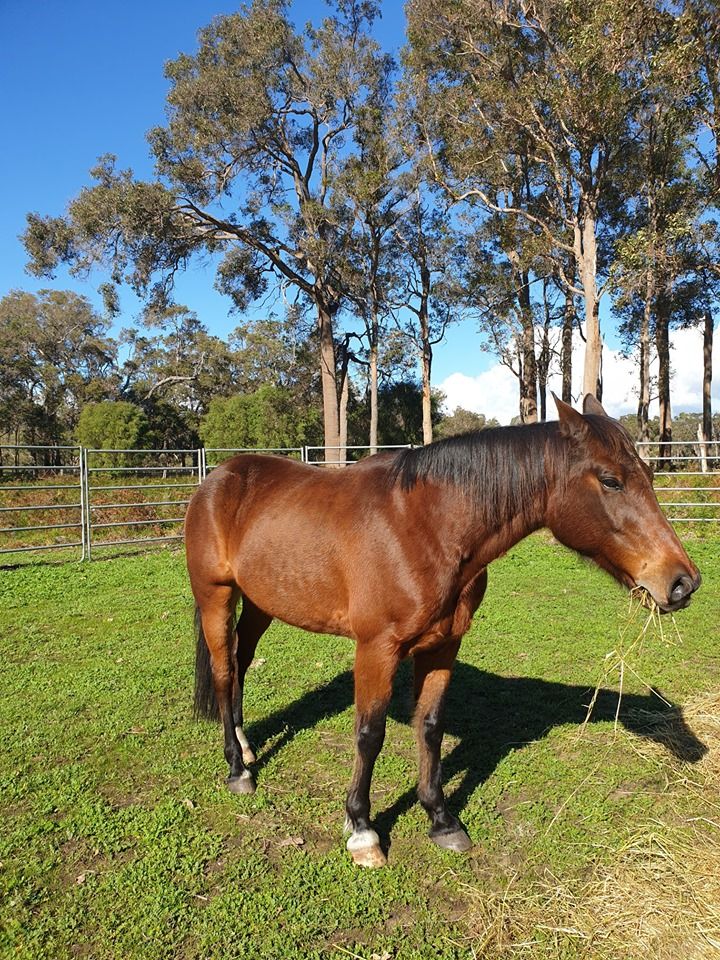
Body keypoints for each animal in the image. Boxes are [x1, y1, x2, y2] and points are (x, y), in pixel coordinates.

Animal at [184, 395, 700, 868]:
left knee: (240, 661)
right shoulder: (377, 649)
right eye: (610, 480)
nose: (682, 582)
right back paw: (237, 769)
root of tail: (218, 478)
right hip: (216, 597)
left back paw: (247, 746)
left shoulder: (443, 645)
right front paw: (362, 828)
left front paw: (441, 819)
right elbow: (369, 734)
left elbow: (429, 727)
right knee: (224, 671)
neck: (426, 526)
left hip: (260, 602)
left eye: (648, 474)